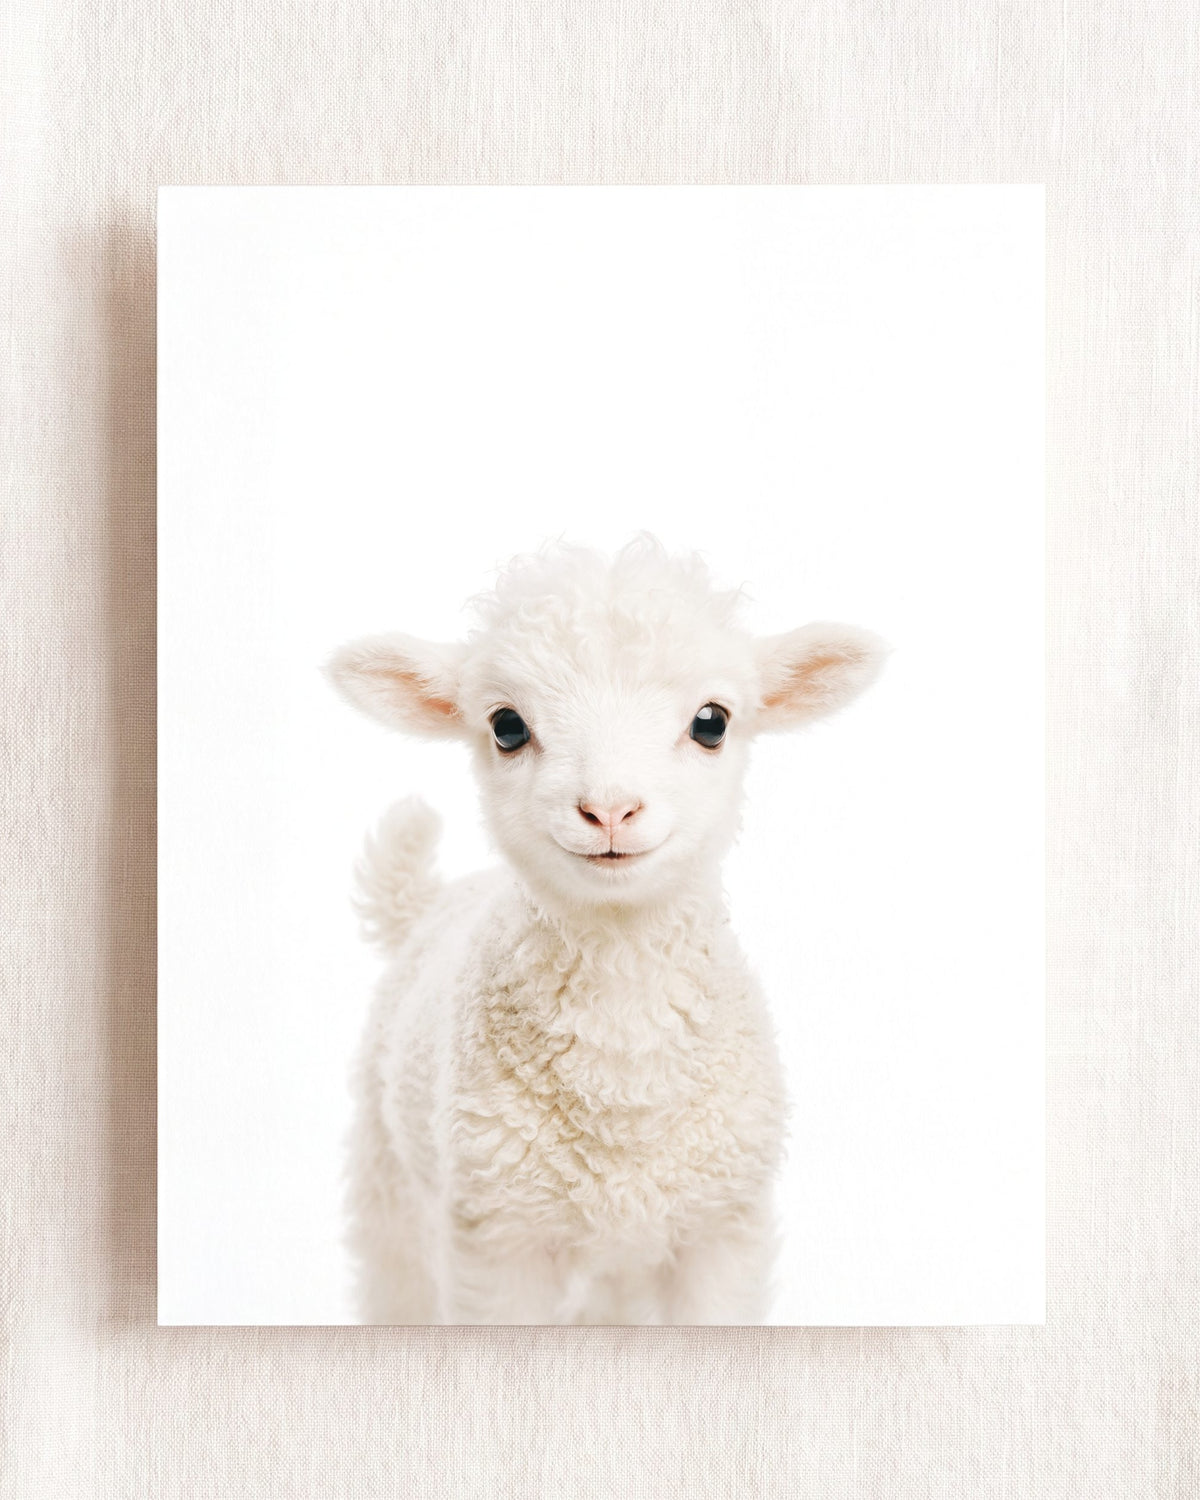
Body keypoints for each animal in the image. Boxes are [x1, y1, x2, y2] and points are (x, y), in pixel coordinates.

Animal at [327, 535, 885, 1324]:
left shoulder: (721, 1230)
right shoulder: (497, 1240)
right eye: (506, 726)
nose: (610, 810)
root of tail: (429, 901)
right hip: (392, 1190)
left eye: (712, 721)